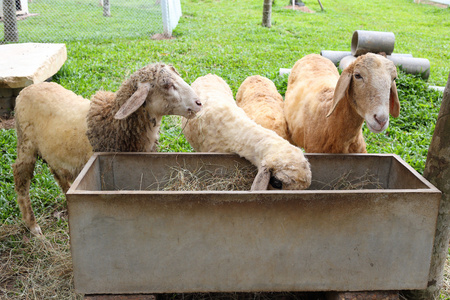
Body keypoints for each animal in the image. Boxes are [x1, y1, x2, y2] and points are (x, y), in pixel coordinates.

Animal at [12, 62, 202, 234]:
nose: (199, 103)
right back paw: (33, 226)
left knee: (57, 172)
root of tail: (28, 89)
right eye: (166, 85)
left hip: (53, 151)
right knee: (20, 176)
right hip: (25, 143)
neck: (112, 123)